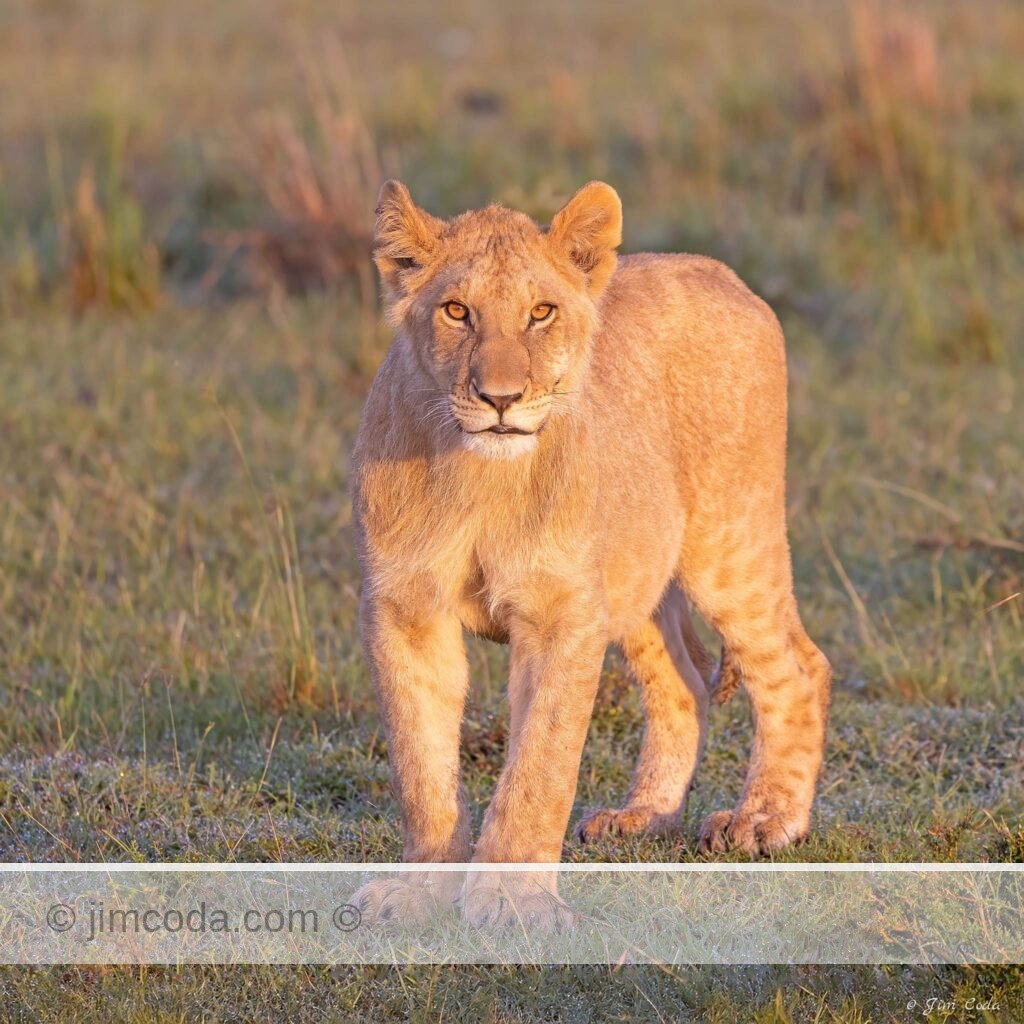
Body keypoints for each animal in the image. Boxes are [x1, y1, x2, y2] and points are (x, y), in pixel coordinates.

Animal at [350, 180, 832, 928]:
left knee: (799, 666)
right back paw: (645, 817)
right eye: (457, 311)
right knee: (683, 683)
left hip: (730, 541)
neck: (479, 477)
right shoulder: (404, 611)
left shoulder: (561, 617)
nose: (500, 399)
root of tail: (722, 274)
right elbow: (420, 765)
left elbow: (539, 765)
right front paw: (419, 892)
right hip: (637, 579)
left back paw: (764, 822)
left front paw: (513, 901)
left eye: (541, 312)